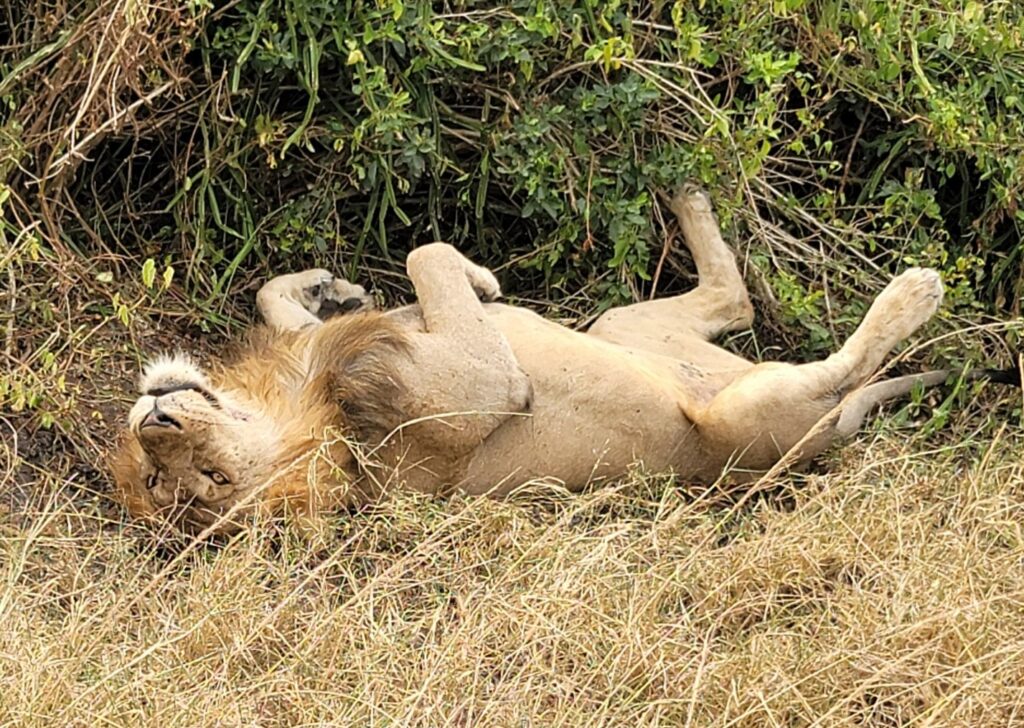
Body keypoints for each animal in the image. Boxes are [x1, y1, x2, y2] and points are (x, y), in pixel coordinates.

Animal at [109, 186, 1013, 534]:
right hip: (742, 419)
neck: (303, 398)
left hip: (622, 326)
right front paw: (476, 276)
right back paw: (914, 291)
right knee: (838, 368)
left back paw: (688, 194)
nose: (157, 422)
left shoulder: (324, 345)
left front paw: (335, 287)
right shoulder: (485, 384)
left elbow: (289, 293)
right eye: (200, 483)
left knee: (736, 302)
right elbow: (426, 252)